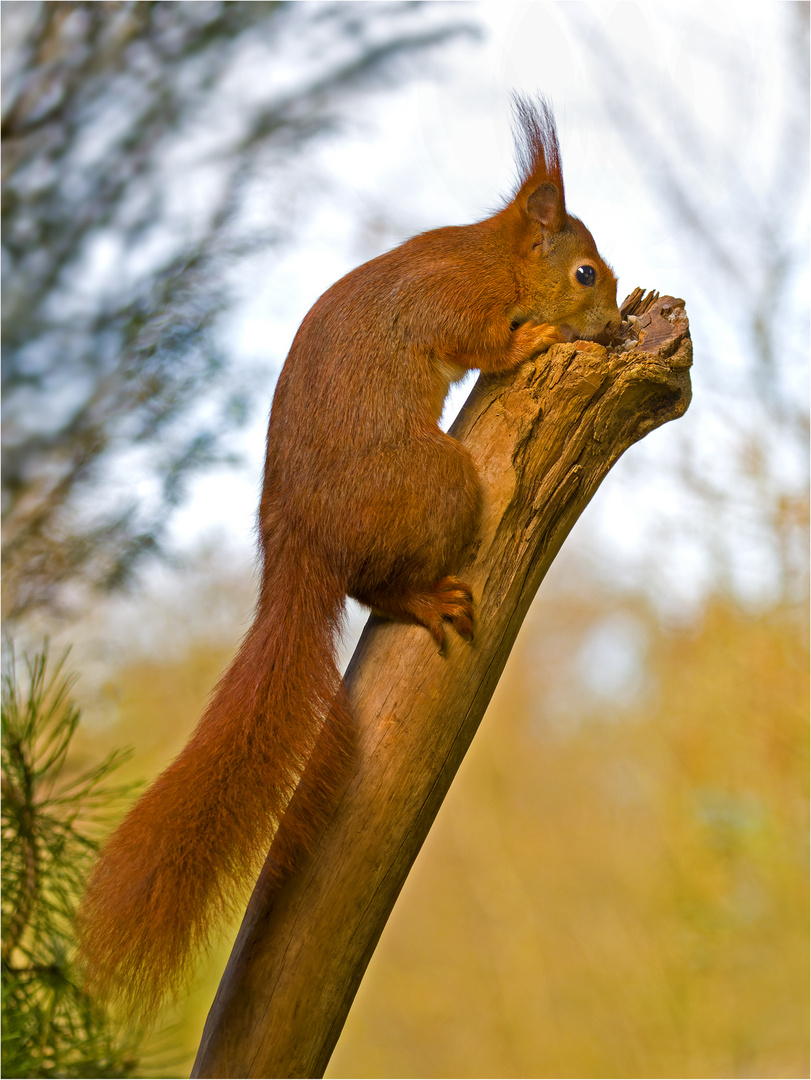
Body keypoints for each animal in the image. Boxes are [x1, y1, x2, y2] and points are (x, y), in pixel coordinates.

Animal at [77, 95, 622, 1010]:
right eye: (585, 274)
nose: (617, 326)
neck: (488, 258)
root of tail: (297, 550)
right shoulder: (451, 304)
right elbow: (487, 344)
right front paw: (534, 339)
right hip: (437, 484)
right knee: (374, 588)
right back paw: (422, 598)